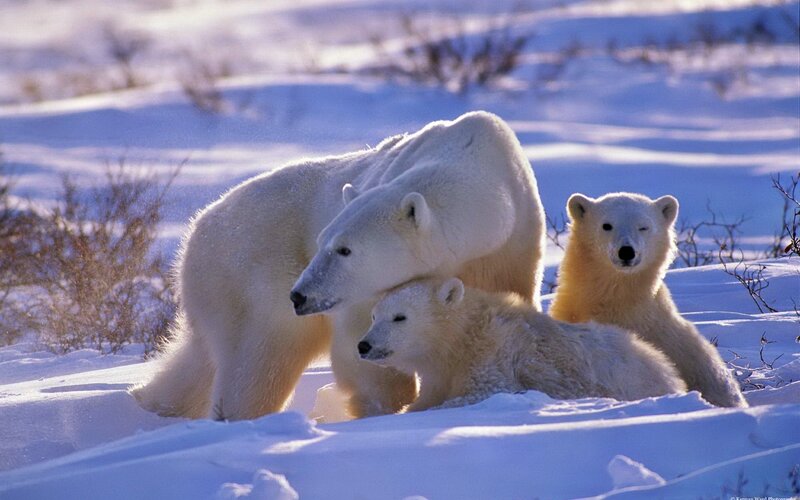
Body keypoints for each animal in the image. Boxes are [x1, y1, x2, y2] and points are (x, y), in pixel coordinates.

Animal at [131, 111, 546, 420]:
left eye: (344, 249)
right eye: (323, 241)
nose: (300, 295)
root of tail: (196, 228)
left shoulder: (512, 246)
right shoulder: (364, 292)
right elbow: (360, 343)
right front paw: (386, 406)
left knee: (199, 359)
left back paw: (150, 401)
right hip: (249, 271)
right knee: (263, 356)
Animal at [357, 277, 686, 411]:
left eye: (400, 317)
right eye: (374, 315)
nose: (364, 345)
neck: (464, 335)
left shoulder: (494, 354)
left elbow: (484, 392)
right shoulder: (441, 371)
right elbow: (426, 398)